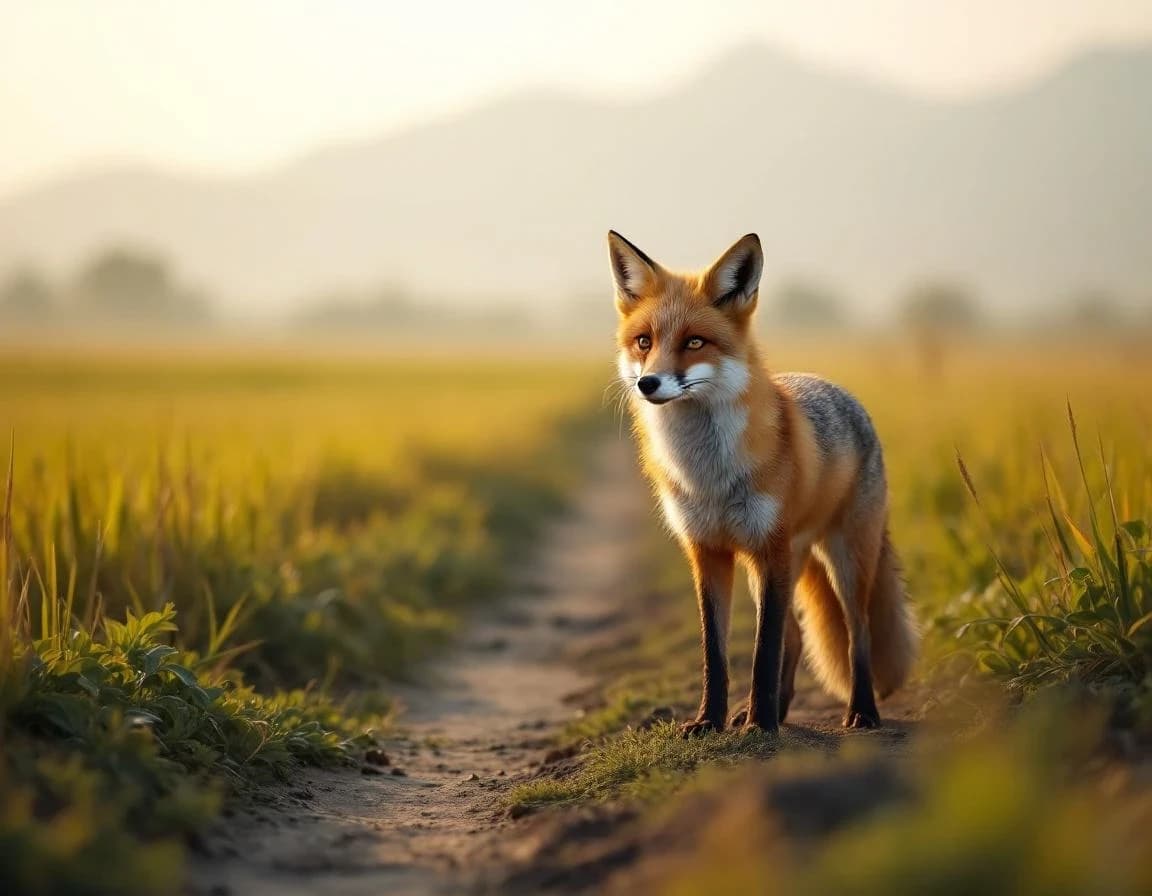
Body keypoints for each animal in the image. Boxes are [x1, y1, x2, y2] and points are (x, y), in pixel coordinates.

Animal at [608, 230, 918, 736]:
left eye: (695, 342)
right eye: (643, 342)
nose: (648, 384)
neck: (708, 474)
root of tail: (841, 390)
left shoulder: (769, 547)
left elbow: (761, 651)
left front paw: (760, 725)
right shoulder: (708, 551)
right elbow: (716, 653)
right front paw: (710, 720)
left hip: (845, 558)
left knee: (858, 634)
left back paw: (861, 710)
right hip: (779, 565)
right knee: (795, 636)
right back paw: (782, 708)